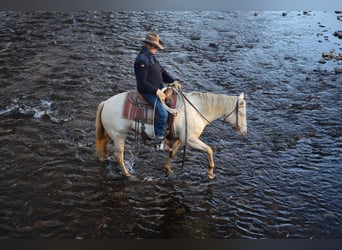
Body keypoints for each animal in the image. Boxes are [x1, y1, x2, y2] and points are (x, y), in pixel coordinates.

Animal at [95, 90, 247, 180]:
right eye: (241, 112)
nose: (244, 132)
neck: (196, 110)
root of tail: (105, 103)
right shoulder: (191, 140)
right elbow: (209, 150)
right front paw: (210, 173)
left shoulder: (180, 138)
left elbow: (172, 153)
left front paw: (168, 169)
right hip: (119, 135)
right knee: (118, 155)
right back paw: (128, 175)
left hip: (113, 134)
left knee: (104, 142)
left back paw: (104, 158)